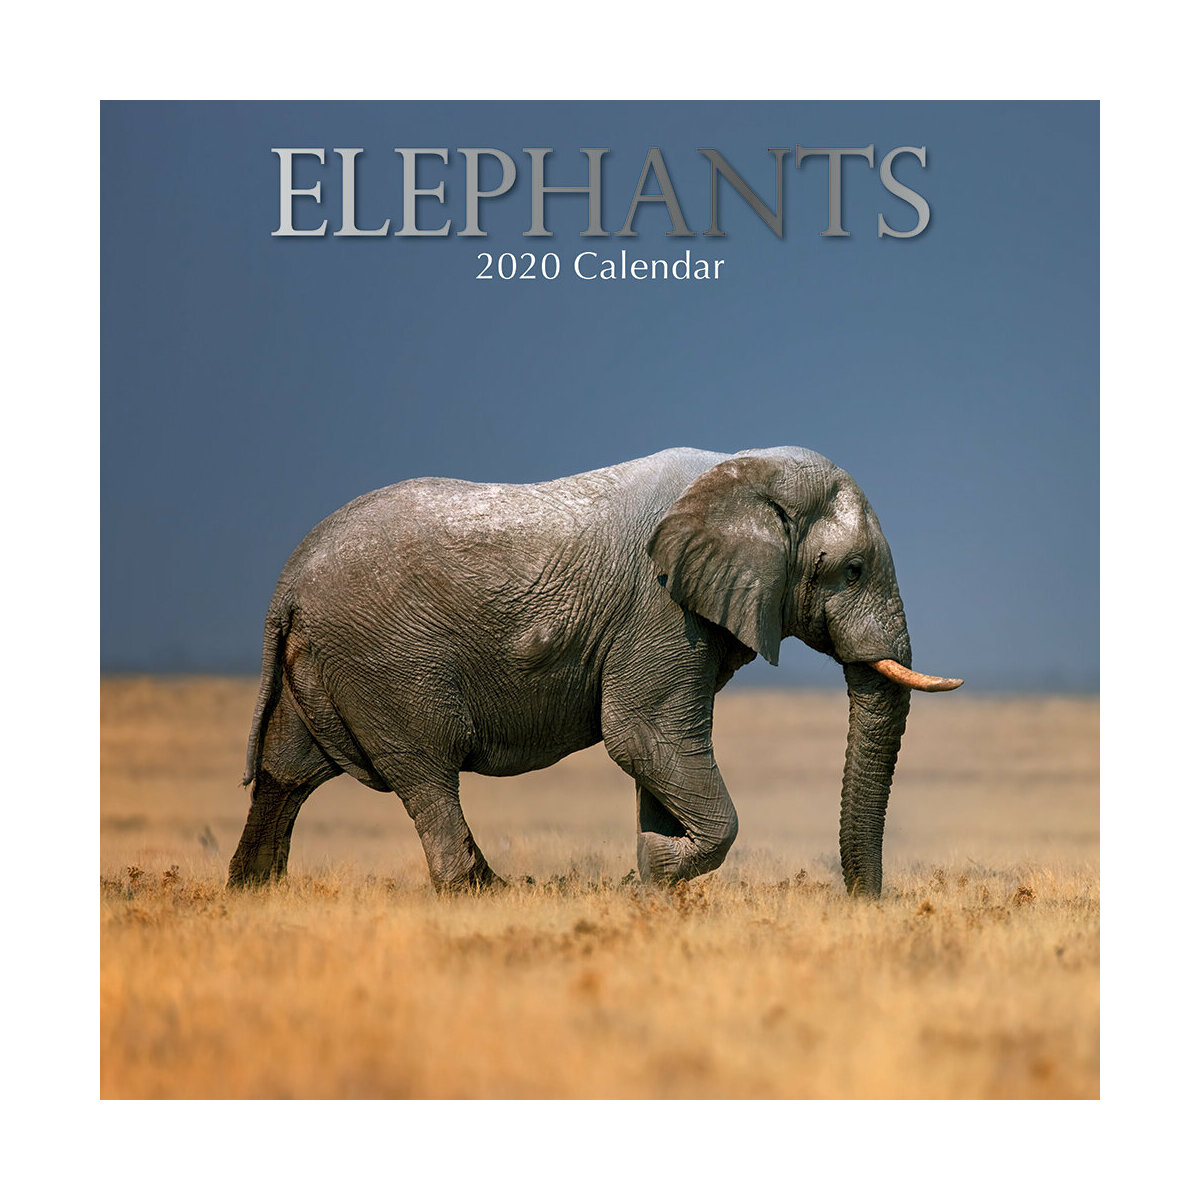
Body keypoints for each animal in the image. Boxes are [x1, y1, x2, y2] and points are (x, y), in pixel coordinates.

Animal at [228, 446, 961, 897]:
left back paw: (254, 894)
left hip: (326, 660)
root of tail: (288, 583)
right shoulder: (659, 608)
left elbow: (658, 754)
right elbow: (641, 737)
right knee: (426, 772)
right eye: (853, 570)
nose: (866, 906)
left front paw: (650, 882)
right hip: (387, 661)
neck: (744, 472)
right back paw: (477, 895)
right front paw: (650, 877)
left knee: (288, 771)